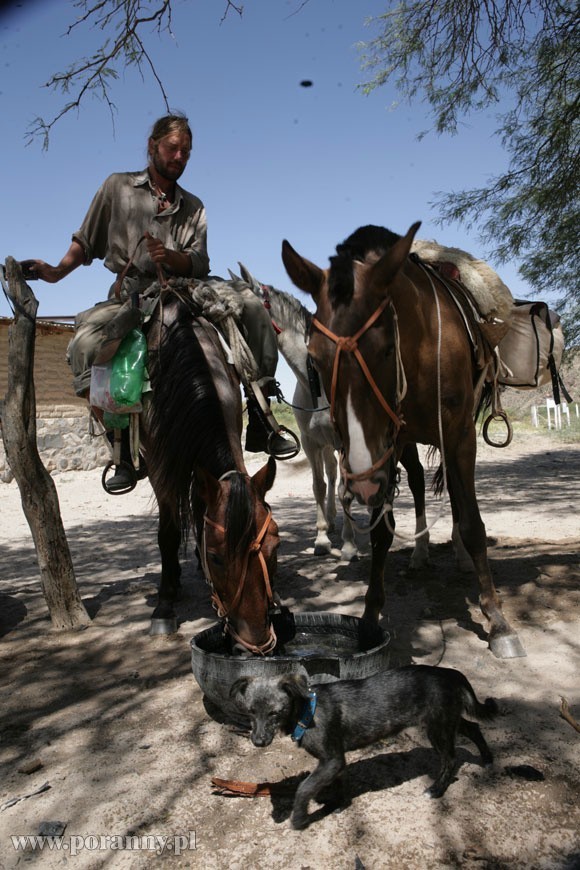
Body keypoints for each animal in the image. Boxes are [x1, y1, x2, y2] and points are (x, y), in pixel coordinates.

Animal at [142, 290, 280, 656]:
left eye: (275, 546)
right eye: (217, 558)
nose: (255, 642)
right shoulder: (158, 465)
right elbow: (168, 532)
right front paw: (163, 606)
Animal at [231, 668, 498, 832]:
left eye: (275, 712)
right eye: (250, 711)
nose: (258, 741)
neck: (307, 712)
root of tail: (451, 673)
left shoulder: (331, 760)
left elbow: (303, 788)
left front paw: (299, 818)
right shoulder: (336, 763)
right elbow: (334, 785)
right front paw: (337, 805)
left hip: (437, 728)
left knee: (451, 759)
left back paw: (436, 790)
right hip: (447, 720)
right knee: (473, 727)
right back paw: (487, 758)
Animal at [282, 221, 524, 656]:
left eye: (385, 349)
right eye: (316, 357)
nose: (360, 480)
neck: (422, 345)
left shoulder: (459, 434)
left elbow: (473, 522)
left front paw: (498, 620)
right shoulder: (386, 446)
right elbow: (381, 530)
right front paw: (369, 617)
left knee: (458, 496)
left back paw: (460, 557)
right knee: (416, 484)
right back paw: (421, 553)